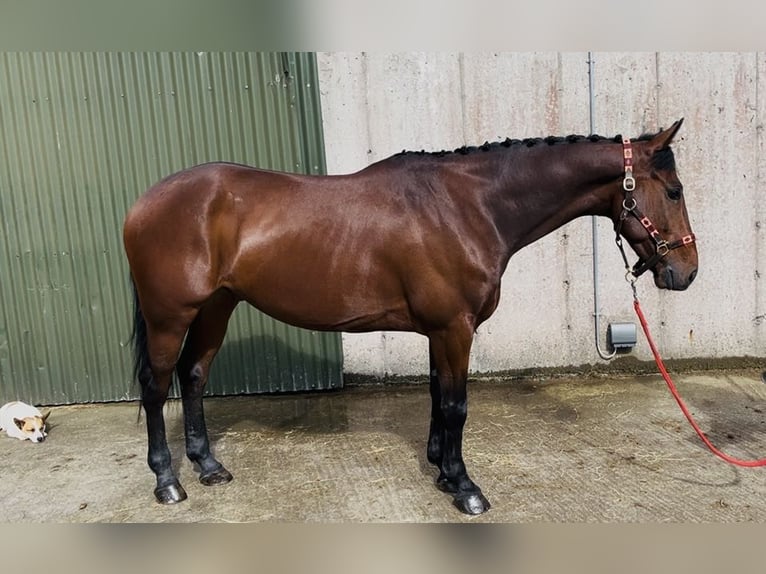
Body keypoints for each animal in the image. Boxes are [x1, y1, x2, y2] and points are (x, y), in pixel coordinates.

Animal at [123, 118, 697, 515]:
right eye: (673, 191)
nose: (687, 272)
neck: (470, 206)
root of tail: (145, 201)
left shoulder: (438, 331)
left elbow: (438, 398)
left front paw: (442, 470)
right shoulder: (454, 328)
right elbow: (457, 405)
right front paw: (465, 487)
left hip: (216, 307)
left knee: (194, 376)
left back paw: (208, 466)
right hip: (169, 316)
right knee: (157, 387)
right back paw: (168, 482)